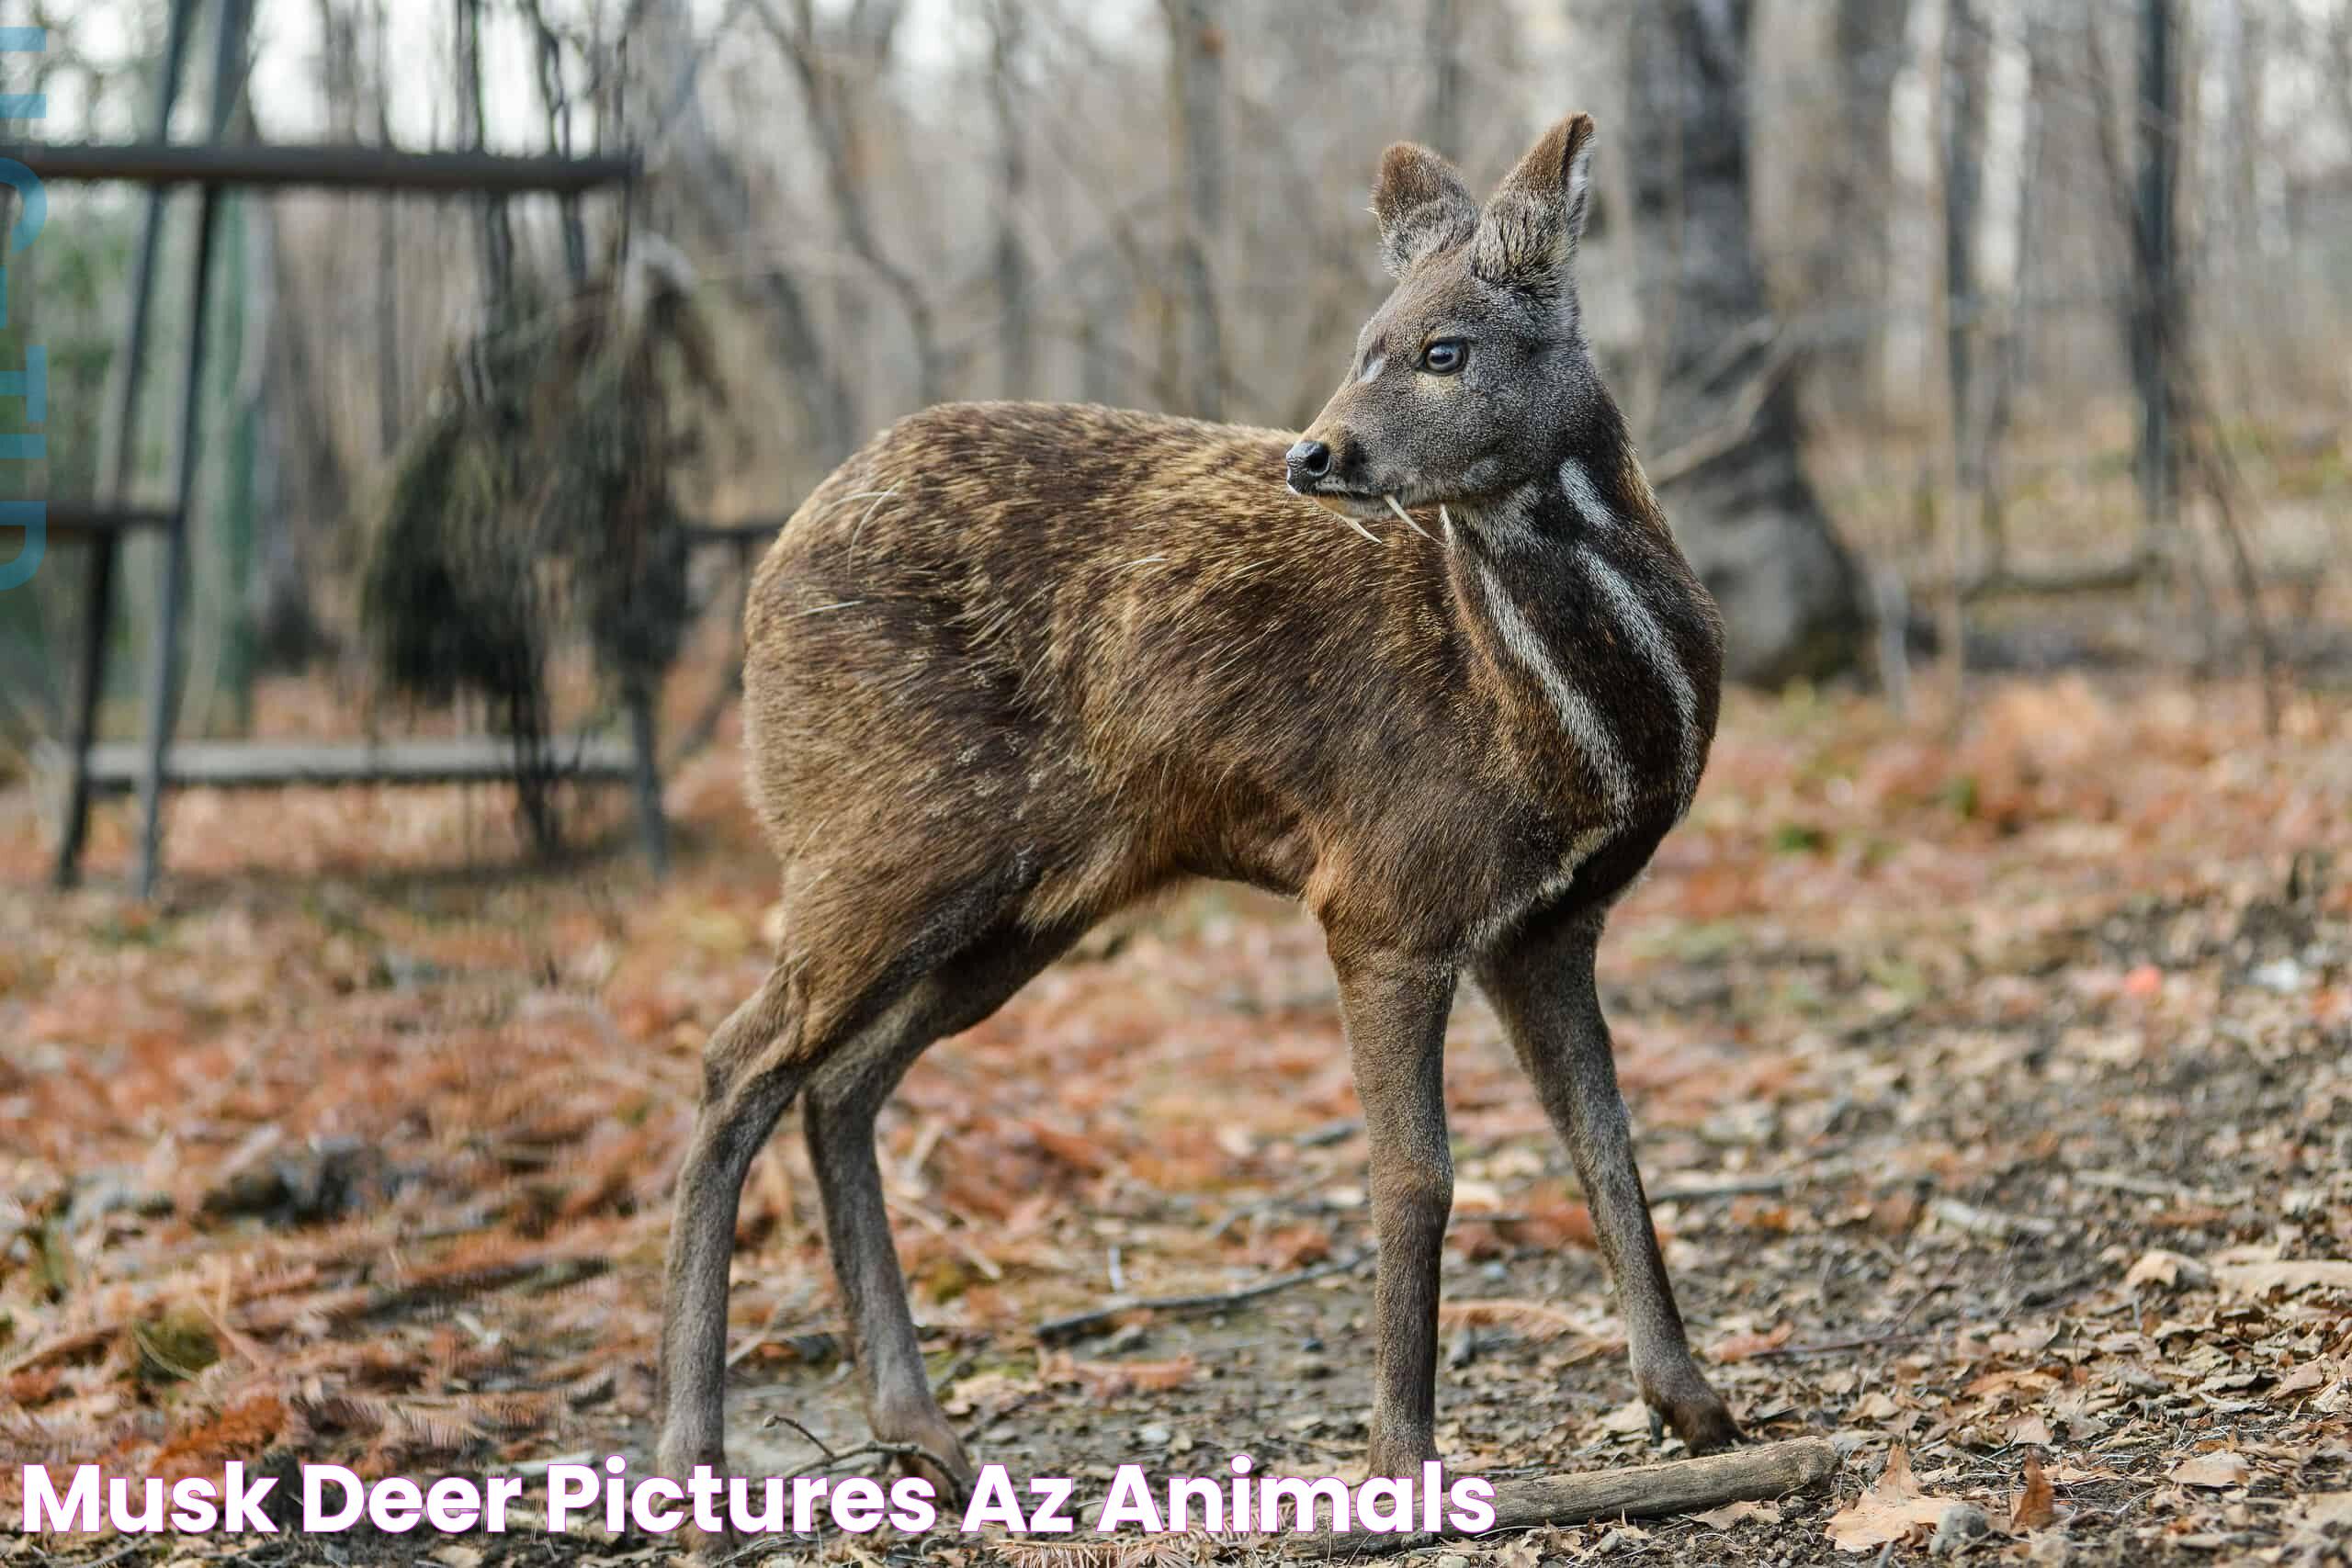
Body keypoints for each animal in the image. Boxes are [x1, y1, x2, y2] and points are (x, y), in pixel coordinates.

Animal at [653, 113, 1740, 1504]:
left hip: (1025, 899)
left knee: (837, 1083)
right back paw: (693, 1453)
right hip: (881, 839)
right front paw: (1401, 1459)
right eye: (1365, 339)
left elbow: (1608, 1147)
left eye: (1443, 348)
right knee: (736, 1059)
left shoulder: (1546, 922)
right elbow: (1416, 1175)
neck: (1572, 727)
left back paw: (922, 1430)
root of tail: (766, 572)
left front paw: (1693, 1402)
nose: (1315, 453)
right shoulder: (1385, 894)